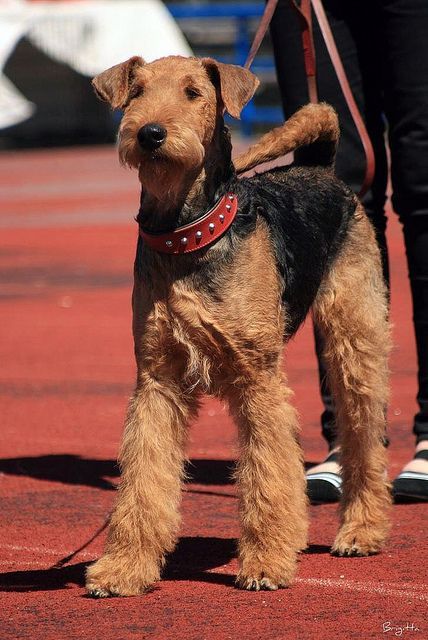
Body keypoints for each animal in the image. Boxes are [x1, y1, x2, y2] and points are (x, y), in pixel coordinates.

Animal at [86, 55, 392, 596]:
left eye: (193, 92)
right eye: (136, 91)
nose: (150, 133)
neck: (188, 233)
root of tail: (319, 169)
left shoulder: (257, 377)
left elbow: (268, 472)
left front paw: (265, 563)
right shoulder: (157, 380)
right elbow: (144, 480)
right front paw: (123, 568)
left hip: (353, 339)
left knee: (363, 440)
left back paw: (361, 531)